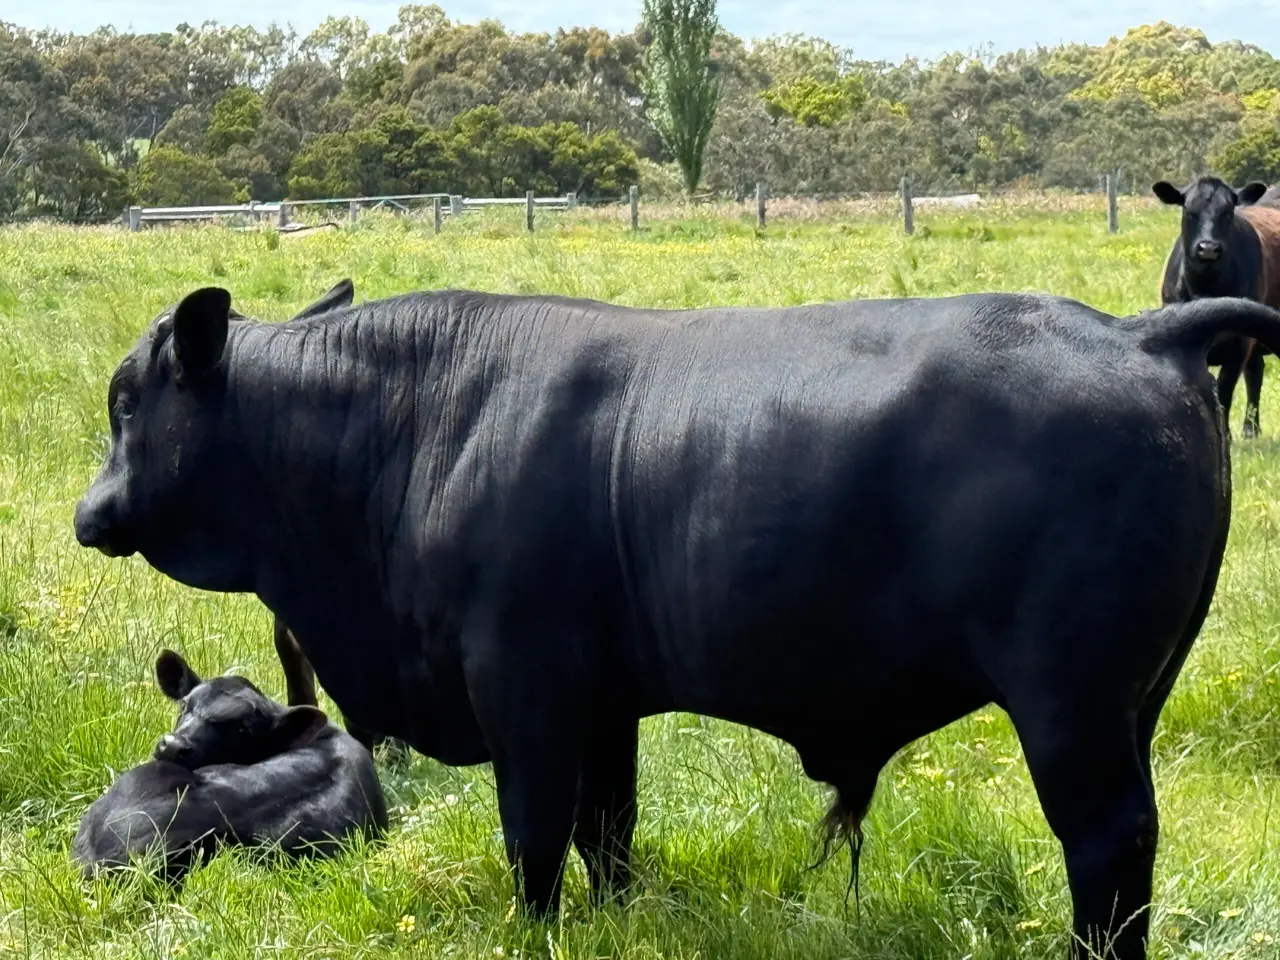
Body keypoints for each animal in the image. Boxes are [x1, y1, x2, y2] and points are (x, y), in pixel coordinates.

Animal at [1153, 175, 1280, 437]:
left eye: (1228, 212)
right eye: (1189, 211)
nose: (1208, 248)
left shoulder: (1239, 343)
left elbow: (1224, 391)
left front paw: (1226, 435)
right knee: (1256, 371)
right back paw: (1251, 429)